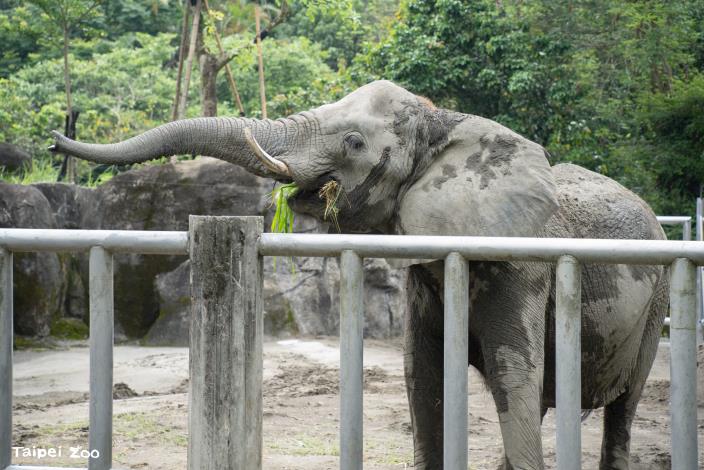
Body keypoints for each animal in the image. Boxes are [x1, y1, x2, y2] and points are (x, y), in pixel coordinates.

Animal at [51, 80, 668, 470]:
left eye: (353, 142)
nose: (57, 135)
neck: (442, 121)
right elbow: (423, 374)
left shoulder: (522, 265)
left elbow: (512, 371)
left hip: (657, 295)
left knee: (622, 405)